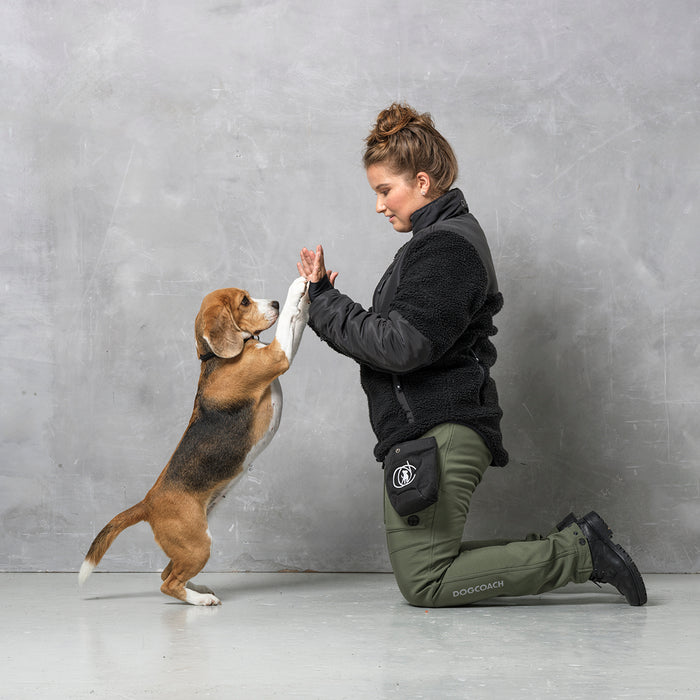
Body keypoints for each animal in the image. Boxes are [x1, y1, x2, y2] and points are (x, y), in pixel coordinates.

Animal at [78, 276, 308, 604]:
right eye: (244, 301)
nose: (274, 303)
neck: (216, 358)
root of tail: (148, 502)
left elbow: (297, 320)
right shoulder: (279, 355)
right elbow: (291, 320)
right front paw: (299, 287)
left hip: (191, 542)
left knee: (167, 574)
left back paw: (198, 588)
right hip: (199, 544)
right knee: (168, 583)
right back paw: (200, 599)